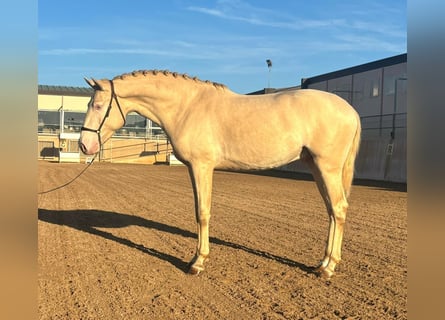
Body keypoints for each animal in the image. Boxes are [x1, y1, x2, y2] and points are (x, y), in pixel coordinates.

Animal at [80, 69, 360, 278]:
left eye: (98, 105)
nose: (84, 145)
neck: (188, 107)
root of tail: (350, 110)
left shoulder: (201, 166)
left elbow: (202, 213)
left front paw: (197, 262)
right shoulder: (195, 169)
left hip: (327, 168)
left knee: (339, 209)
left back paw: (329, 268)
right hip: (317, 167)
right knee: (332, 211)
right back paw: (323, 263)